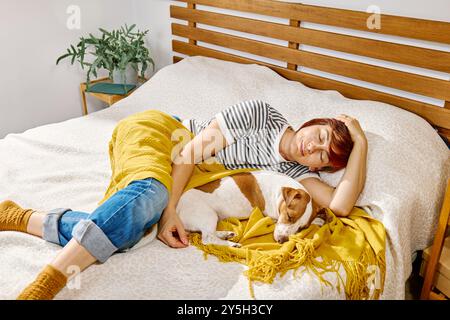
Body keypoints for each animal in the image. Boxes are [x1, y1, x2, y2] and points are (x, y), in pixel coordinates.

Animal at [177, 171, 324, 246]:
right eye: (289, 216)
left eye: (302, 228)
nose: (282, 241)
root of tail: (177, 208)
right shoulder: (271, 214)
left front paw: (319, 219)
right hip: (208, 215)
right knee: (208, 238)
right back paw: (231, 244)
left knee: (210, 233)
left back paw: (226, 234)